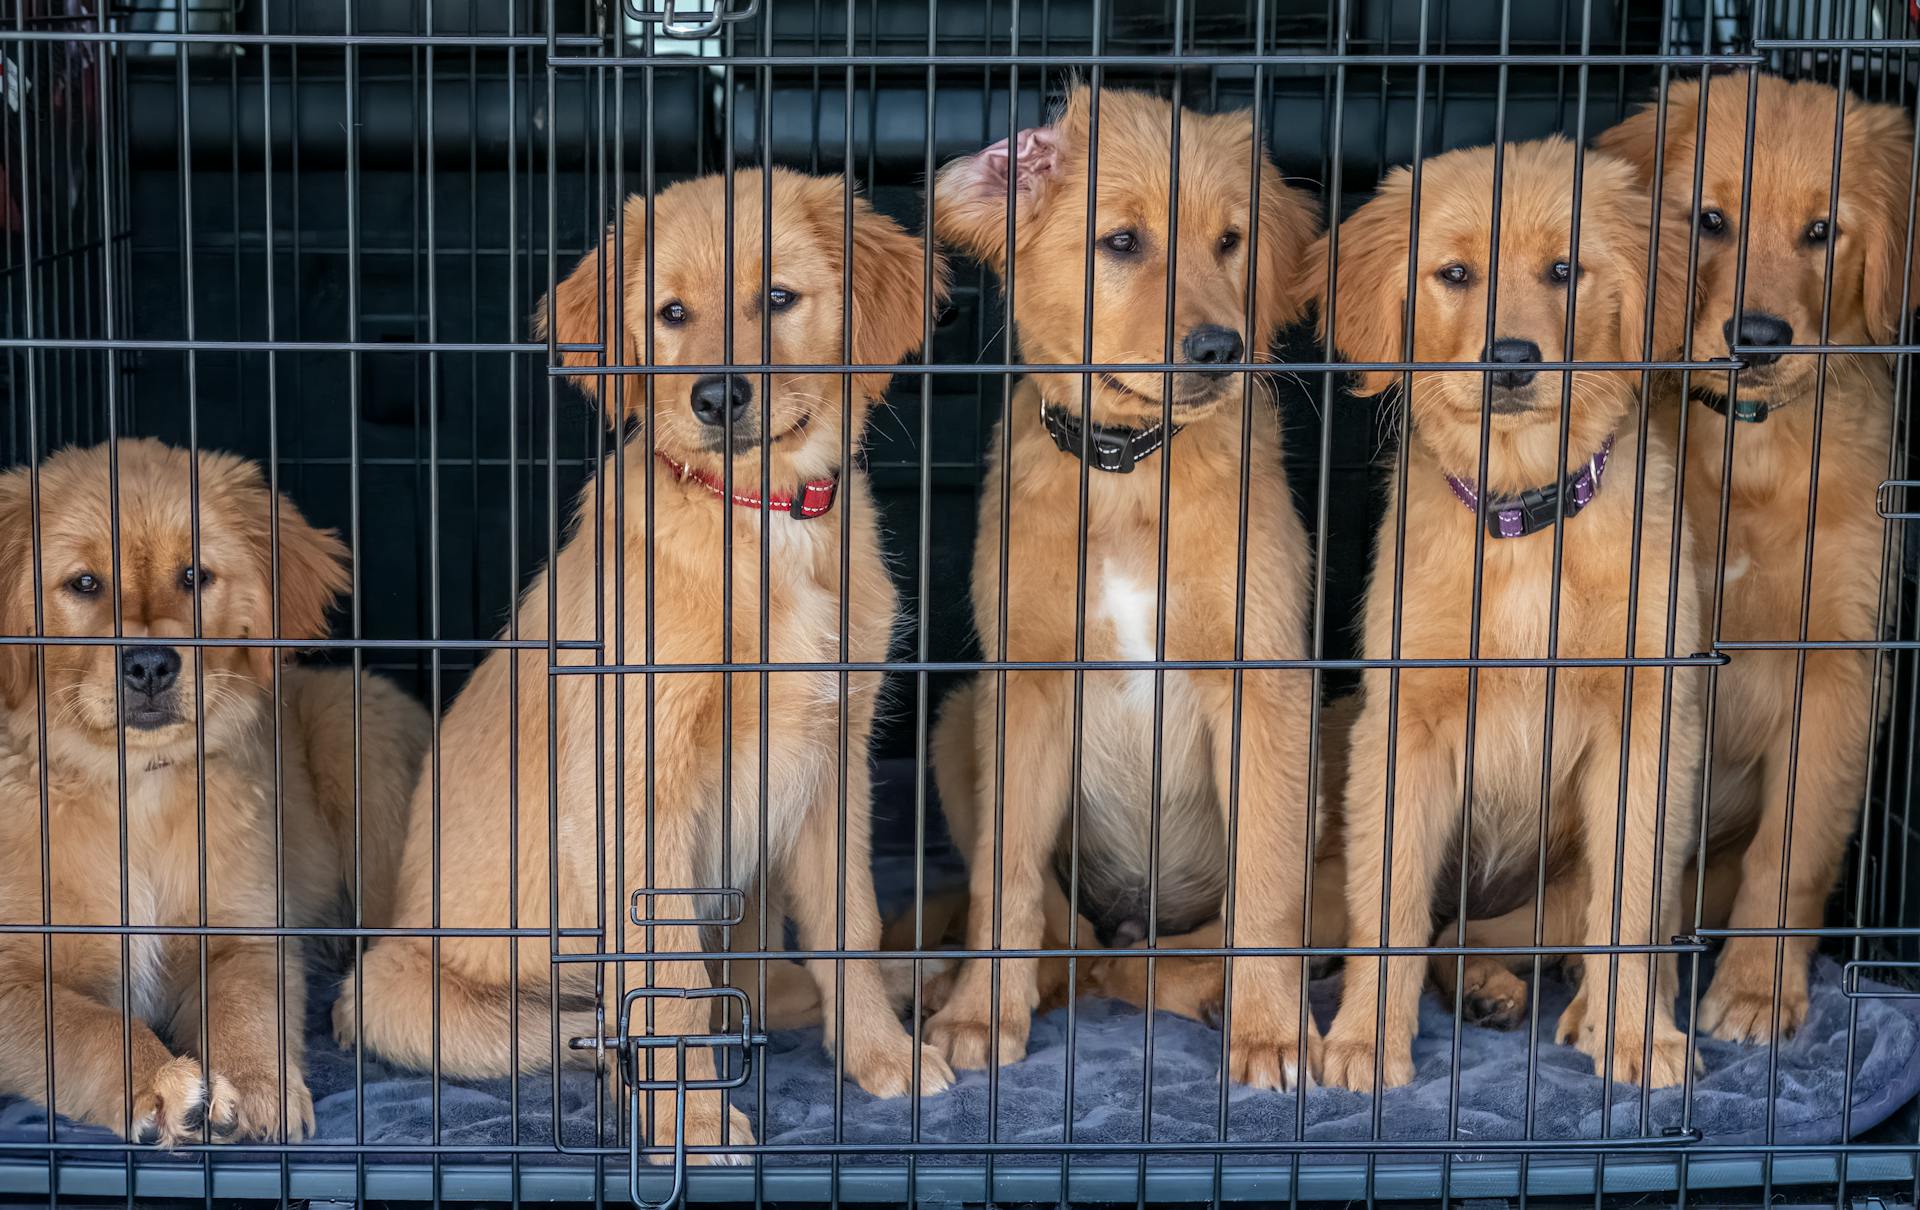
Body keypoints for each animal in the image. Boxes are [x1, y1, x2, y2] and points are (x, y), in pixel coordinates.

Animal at [0, 437, 424, 1144]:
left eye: (195, 576)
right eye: (84, 583)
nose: (149, 665)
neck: (137, 787)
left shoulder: (244, 932)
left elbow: (245, 1009)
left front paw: (258, 1085)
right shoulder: (14, 970)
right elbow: (86, 1026)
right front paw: (161, 1083)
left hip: (356, 738)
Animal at [341, 170, 956, 1167]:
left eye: (777, 298)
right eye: (671, 313)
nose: (715, 397)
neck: (758, 522)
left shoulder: (837, 759)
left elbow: (849, 921)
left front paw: (878, 1054)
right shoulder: (639, 786)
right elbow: (672, 980)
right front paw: (693, 1124)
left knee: (750, 984)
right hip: (401, 992)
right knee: (599, 1017)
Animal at [925, 85, 1320, 1090]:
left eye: (1230, 241)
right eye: (1122, 242)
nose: (1220, 348)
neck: (1127, 470)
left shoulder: (1264, 680)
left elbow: (1268, 887)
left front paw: (1272, 1032)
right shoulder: (1024, 683)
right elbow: (1004, 879)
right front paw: (981, 1015)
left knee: (1165, 961)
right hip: (958, 720)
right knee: (1077, 944)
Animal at [1313, 137, 1704, 1098]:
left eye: (1564, 270)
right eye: (1455, 274)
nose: (1512, 359)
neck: (1523, 516)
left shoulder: (1648, 721)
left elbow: (1630, 902)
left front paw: (1637, 1033)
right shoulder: (1403, 724)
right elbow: (1392, 907)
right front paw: (1365, 1039)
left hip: (1563, 887)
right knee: (1430, 928)